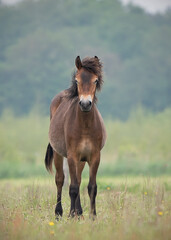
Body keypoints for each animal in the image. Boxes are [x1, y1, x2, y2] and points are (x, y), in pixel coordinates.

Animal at [44, 55, 106, 218]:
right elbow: (72, 188)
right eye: (77, 80)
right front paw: (71, 215)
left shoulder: (94, 157)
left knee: (78, 179)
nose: (85, 104)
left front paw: (92, 216)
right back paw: (59, 213)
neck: (85, 126)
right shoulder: (72, 156)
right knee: (60, 180)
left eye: (95, 80)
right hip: (59, 155)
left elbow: (92, 187)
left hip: (82, 160)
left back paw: (79, 212)